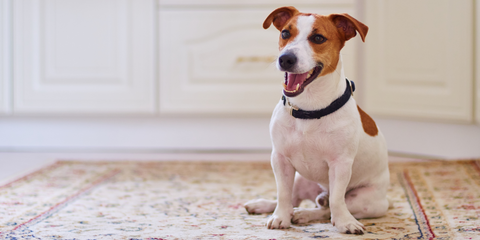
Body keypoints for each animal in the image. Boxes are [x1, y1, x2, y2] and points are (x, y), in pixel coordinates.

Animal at [244, 6, 390, 234]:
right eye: (285, 33)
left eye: (318, 38)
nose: (285, 59)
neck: (308, 109)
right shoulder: (280, 159)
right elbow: (283, 195)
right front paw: (279, 217)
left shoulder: (340, 164)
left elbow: (337, 200)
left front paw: (345, 223)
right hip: (300, 178)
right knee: (295, 199)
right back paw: (266, 206)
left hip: (365, 200)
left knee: (327, 208)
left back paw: (306, 214)